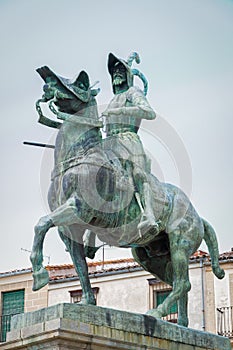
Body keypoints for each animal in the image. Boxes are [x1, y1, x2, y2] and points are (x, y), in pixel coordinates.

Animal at [30, 67, 225, 326]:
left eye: (80, 83)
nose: (48, 84)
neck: (79, 156)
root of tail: (197, 215)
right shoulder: (70, 229)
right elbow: (81, 267)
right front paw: (86, 301)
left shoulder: (78, 208)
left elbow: (41, 223)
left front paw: (39, 274)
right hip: (150, 256)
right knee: (180, 285)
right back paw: (182, 325)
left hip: (180, 244)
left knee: (182, 283)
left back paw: (157, 313)